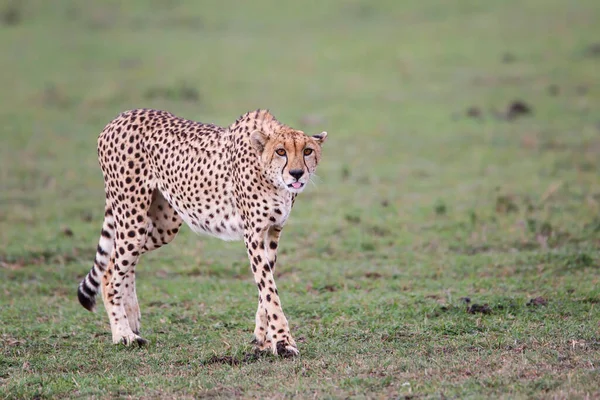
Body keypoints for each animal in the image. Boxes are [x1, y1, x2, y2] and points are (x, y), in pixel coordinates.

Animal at [78, 107, 328, 356]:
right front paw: (283, 342)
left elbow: (266, 288)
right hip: (132, 217)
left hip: (164, 225)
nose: (296, 173)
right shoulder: (253, 233)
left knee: (121, 261)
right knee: (110, 272)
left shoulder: (273, 231)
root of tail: (123, 115)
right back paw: (123, 334)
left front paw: (264, 338)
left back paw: (131, 318)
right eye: (280, 151)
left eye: (307, 151)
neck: (270, 176)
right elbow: (269, 289)